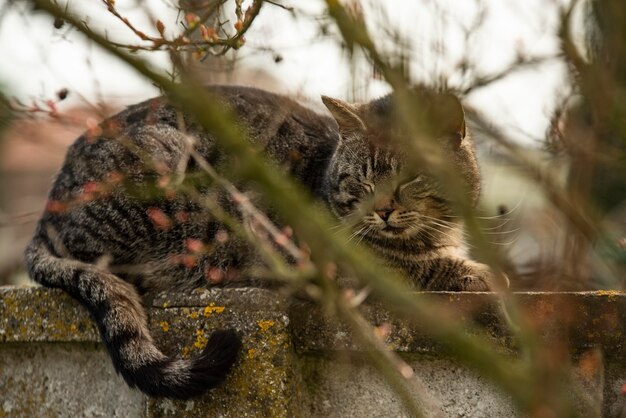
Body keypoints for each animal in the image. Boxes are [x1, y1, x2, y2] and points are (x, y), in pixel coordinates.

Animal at [24, 83, 492, 400]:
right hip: (167, 168)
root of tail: (45, 216)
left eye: (409, 179)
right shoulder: (343, 265)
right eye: (362, 180)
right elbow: (419, 265)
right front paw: (480, 275)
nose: (383, 210)